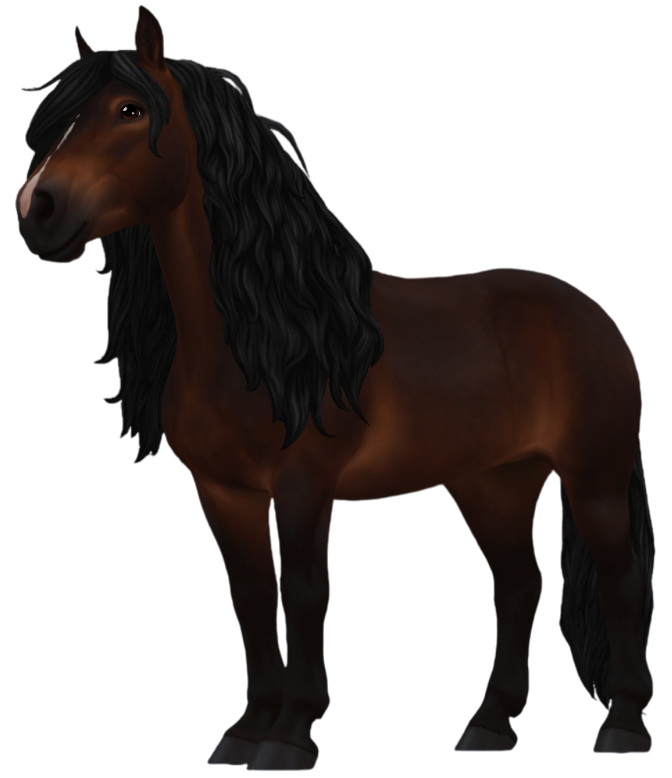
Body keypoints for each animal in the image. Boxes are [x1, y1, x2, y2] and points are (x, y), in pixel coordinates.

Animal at [16, 7, 654, 767]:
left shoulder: (304, 483)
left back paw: (624, 724)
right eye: (63, 118)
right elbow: (252, 595)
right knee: (518, 584)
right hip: (494, 481)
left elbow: (304, 590)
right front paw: (246, 728)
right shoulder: (223, 491)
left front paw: (290, 733)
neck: (269, 334)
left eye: (129, 111)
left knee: (619, 581)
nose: (37, 207)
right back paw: (489, 724)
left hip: (593, 478)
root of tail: (592, 316)